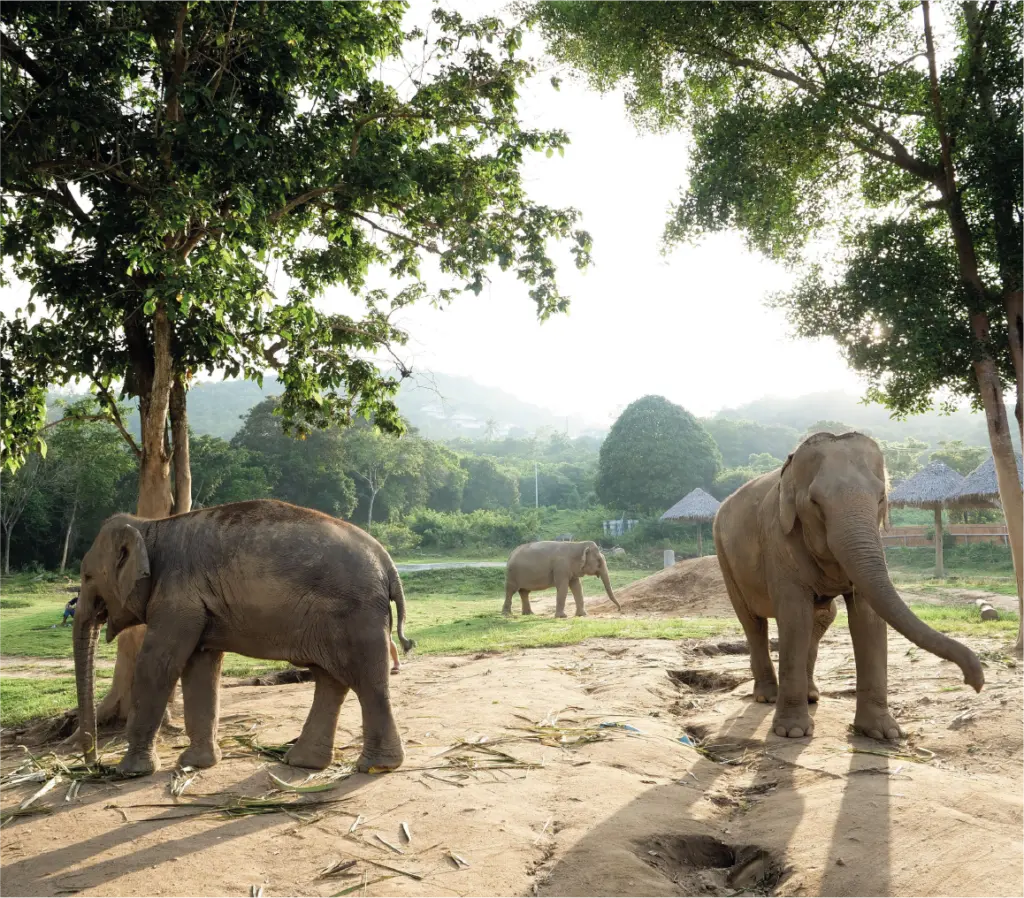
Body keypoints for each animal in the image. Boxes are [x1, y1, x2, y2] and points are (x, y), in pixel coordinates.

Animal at [71, 499, 414, 776]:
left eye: (87, 576)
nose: (92, 764)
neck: (149, 526)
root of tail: (388, 564)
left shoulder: (176, 600)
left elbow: (157, 665)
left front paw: (130, 771)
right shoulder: (194, 606)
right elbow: (201, 668)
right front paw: (196, 764)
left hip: (355, 615)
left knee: (367, 683)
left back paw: (376, 766)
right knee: (331, 680)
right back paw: (303, 762)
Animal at [713, 431, 983, 742]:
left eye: (881, 498)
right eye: (815, 503)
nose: (975, 682)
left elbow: (869, 618)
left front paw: (883, 733)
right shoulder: (778, 539)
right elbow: (794, 616)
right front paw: (792, 732)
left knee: (822, 618)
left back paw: (811, 695)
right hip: (723, 555)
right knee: (753, 622)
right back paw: (767, 697)